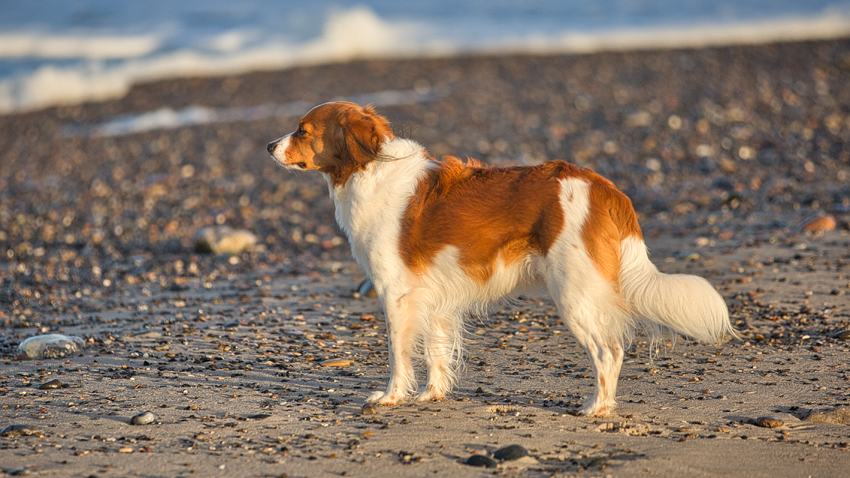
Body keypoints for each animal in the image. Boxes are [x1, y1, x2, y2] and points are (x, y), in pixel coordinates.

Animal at [268, 102, 732, 416]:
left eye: (302, 131)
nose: (269, 144)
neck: (370, 170)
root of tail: (604, 187)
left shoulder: (396, 293)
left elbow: (398, 353)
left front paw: (391, 396)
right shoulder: (433, 296)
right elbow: (436, 351)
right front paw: (432, 393)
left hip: (573, 292)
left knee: (609, 350)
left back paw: (596, 407)